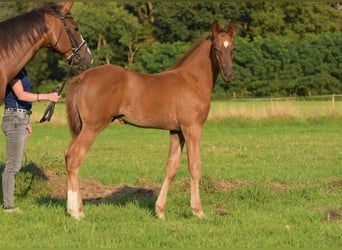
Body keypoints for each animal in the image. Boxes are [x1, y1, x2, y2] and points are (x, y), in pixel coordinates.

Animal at [64, 20, 235, 219]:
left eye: (233, 48)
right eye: (216, 48)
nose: (229, 75)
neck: (192, 80)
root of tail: (82, 77)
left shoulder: (176, 131)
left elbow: (171, 167)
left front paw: (160, 211)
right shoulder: (192, 128)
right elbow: (194, 166)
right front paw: (198, 211)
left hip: (81, 127)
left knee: (68, 155)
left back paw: (75, 208)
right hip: (92, 127)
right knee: (75, 157)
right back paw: (76, 212)